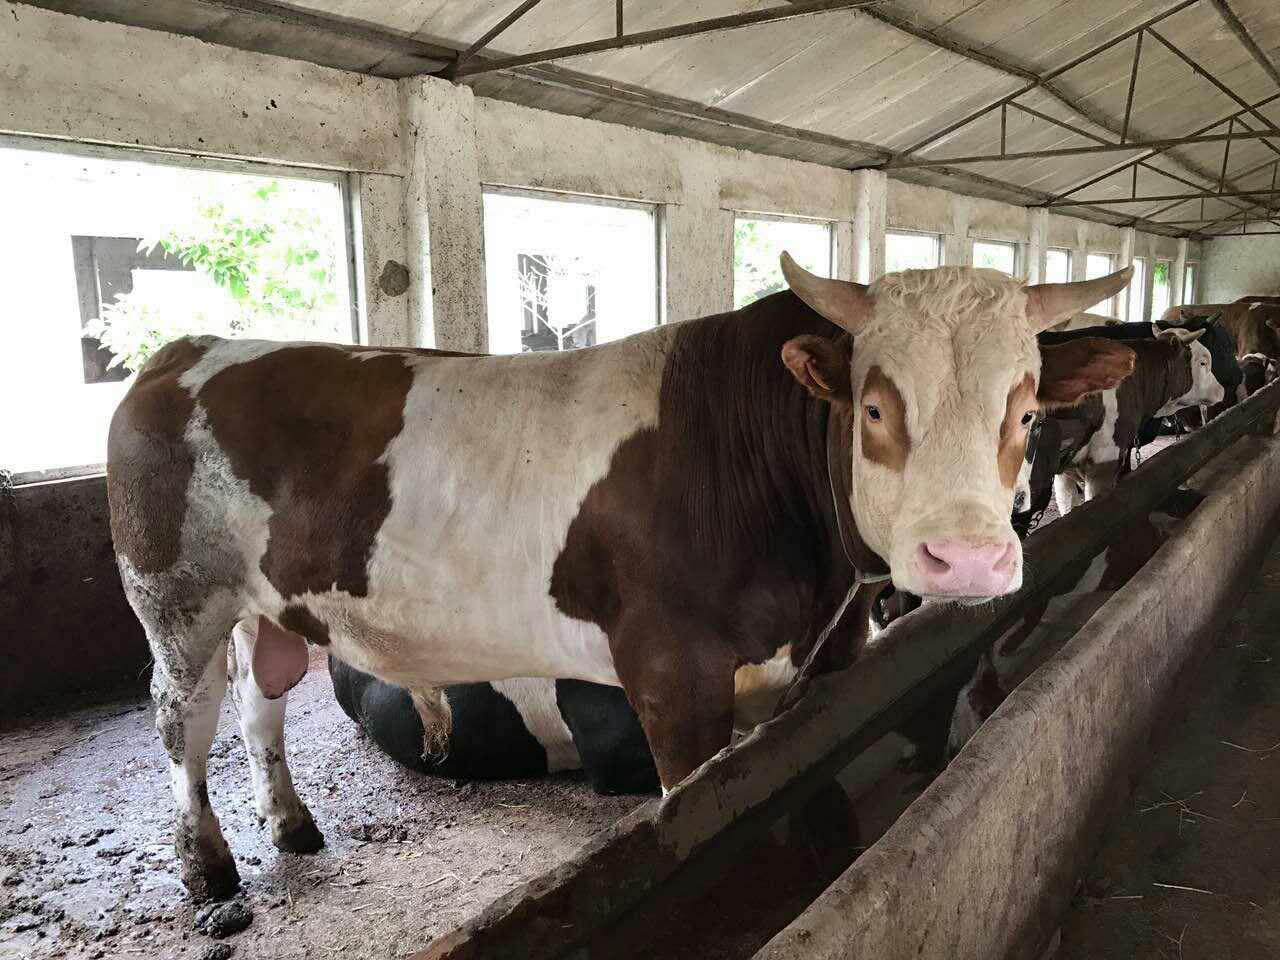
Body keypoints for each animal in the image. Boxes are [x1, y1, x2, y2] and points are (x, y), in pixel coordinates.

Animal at [107, 257, 1131, 901]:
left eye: (1027, 412)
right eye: (876, 408)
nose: (968, 559)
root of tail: (186, 349)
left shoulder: (830, 663)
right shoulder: (673, 681)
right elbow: (702, 811)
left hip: (265, 607)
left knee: (262, 703)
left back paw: (289, 824)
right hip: (176, 601)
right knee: (182, 722)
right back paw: (207, 867)